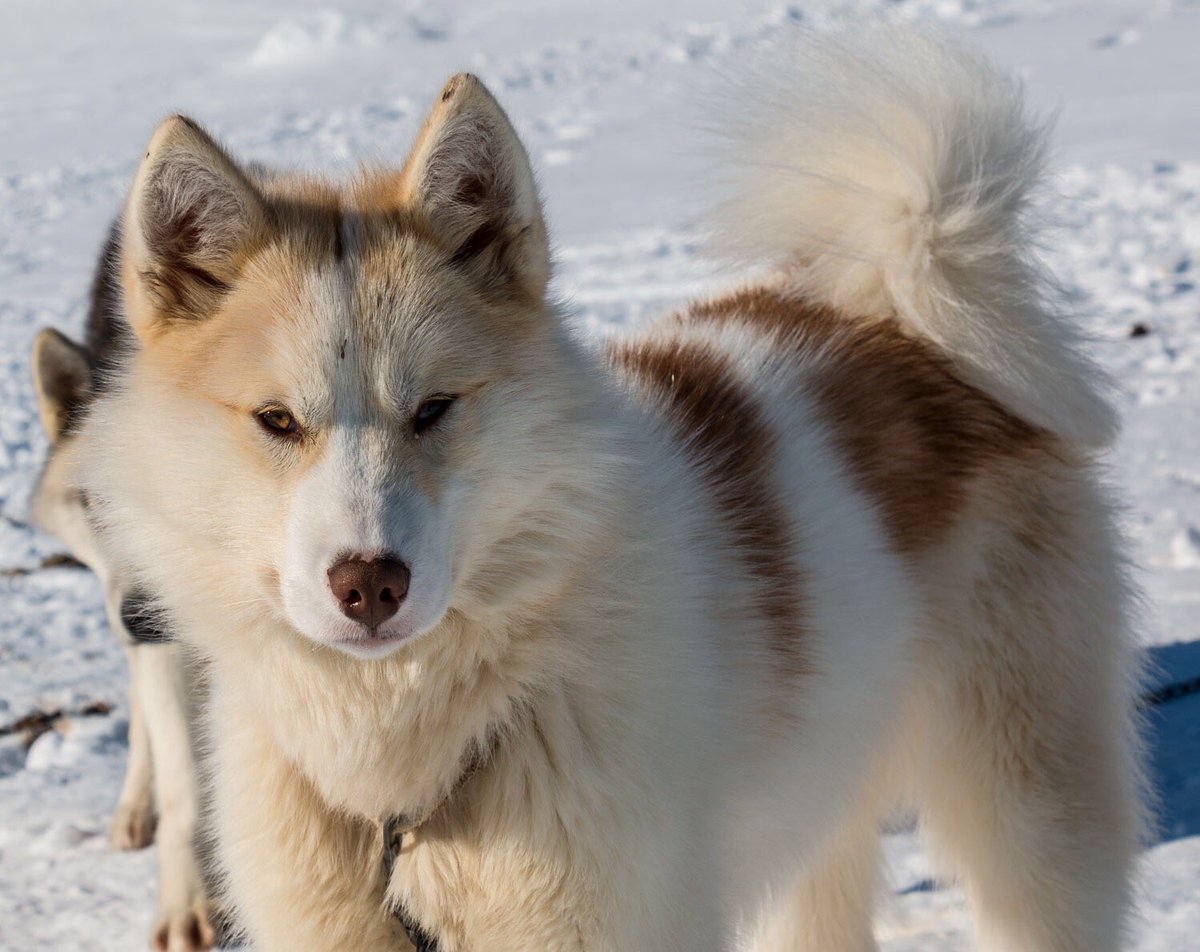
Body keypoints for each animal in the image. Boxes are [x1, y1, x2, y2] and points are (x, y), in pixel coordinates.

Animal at [79, 25, 1147, 950]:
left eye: (433, 408)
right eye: (277, 421)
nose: (368, 584)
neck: (411, 779)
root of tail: (896, 309)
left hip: (1027, 819)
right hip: (817, 829)